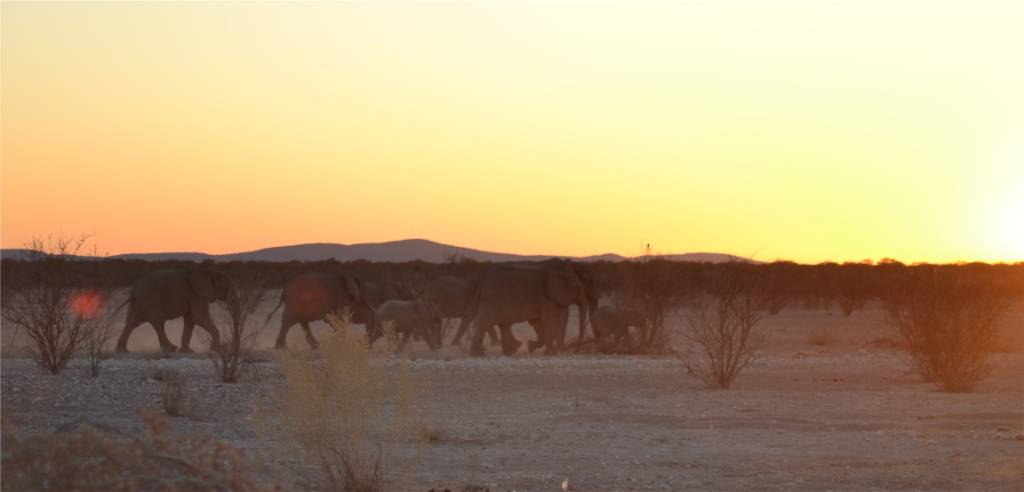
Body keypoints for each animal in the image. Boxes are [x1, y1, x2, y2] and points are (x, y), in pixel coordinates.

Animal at [468, 261, 598, 356]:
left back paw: (510, 350)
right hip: (491, 301)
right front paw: (547, 353)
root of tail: (481, 284)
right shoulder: (546, 298)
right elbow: (547, 322)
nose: (575, 352)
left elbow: (538, 323)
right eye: (578, 289)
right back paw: (477, 354)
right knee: (485, 323)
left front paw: (532, 347)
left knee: (503, 324)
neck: (559, 274)